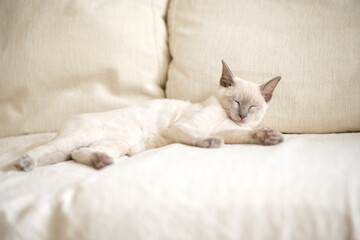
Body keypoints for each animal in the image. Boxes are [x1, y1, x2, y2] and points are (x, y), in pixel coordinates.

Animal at [15, 61, 282, 172]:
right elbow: (203, 136)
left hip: (119, 144)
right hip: (84, 134)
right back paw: (24, 163)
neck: (226, 118)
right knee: (50, 150)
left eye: (253, 107)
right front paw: (212, 143)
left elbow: (242, 135)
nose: (242, 115)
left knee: (77, 153)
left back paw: (100, 161)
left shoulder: (230, 130)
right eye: (236, 102)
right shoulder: (186, 126)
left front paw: (269, 136)